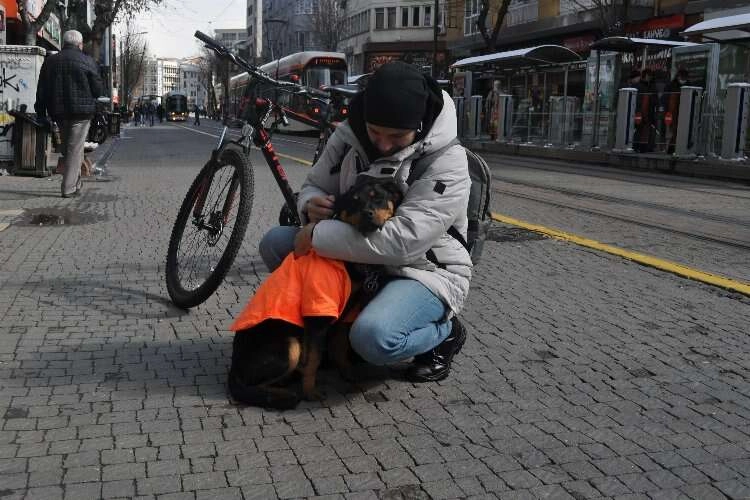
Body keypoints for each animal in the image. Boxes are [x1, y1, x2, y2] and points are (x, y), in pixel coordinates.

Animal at [229, 178, 406, 408]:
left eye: (378, 197)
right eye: (354, 202)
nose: (367, 213)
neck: (350, 261)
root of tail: (233, 369)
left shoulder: (345, 313)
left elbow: (340, 347)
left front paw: (349, 375)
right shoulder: (317, 315)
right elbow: (313, 359)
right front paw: (310, 393)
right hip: (290, 346)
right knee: (252, 386)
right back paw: (283, 394)